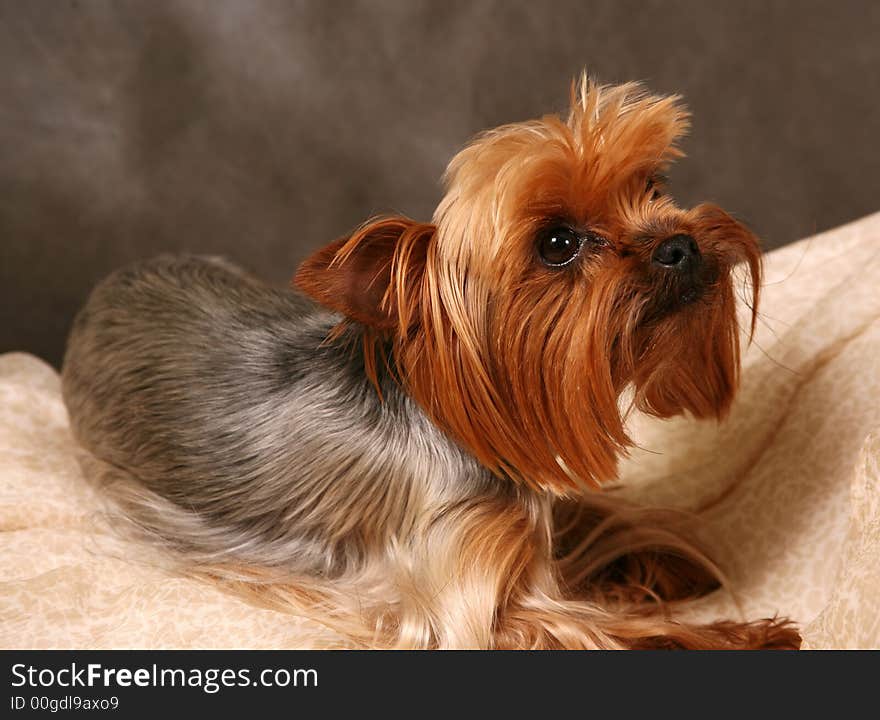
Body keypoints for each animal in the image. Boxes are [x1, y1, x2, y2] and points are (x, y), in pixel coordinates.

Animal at [62, 76, 800, 648]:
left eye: (654, 184)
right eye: (556, 244)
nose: (680, 244)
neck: (456, 424)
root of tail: (103, 290)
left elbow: (593, 521)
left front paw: (668, 560)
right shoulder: (463, 597)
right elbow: (599, 629)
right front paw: (749, 635)